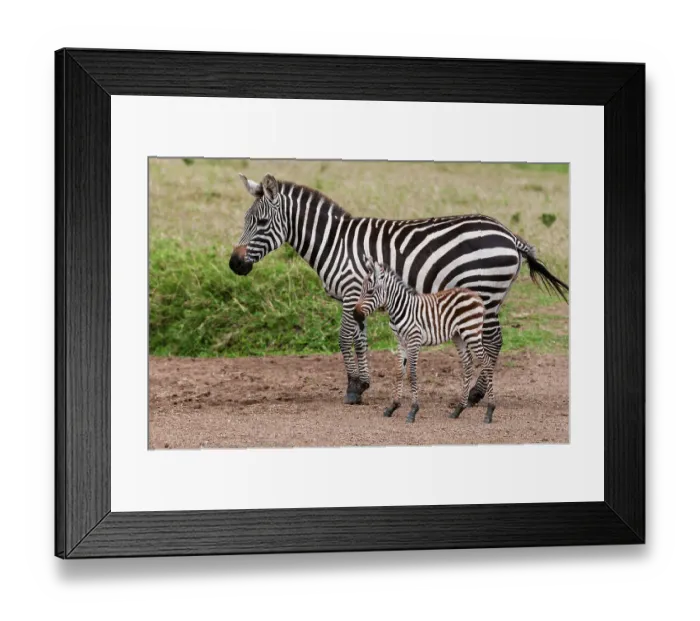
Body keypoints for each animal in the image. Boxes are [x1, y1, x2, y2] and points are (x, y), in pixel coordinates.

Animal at [229, 172, 569, 406]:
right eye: (245, 220)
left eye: (261, 222)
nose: (234, 264)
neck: (335, 243)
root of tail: (509, 235)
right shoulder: (358, 297)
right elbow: (360, 340)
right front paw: (362, 385)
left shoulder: (351, 290)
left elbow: (343, 338)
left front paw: (351, 388)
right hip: (489, 297)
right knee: (493, 341)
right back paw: (476, 392)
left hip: (485, 292)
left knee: (494, 341)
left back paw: (475, 395)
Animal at [354, 257, 494, 424]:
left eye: (370, 291)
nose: (355, 315)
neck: (401, 308)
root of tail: (475, 295)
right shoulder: (401, 342)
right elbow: (399, 372)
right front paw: (393, 406)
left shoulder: (414, 339)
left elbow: (412, 374)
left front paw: (413, 410)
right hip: (458, 336)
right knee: (468, 365)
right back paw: (458, 409)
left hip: (471, 332)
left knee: (487, 362)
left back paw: (489, 411)